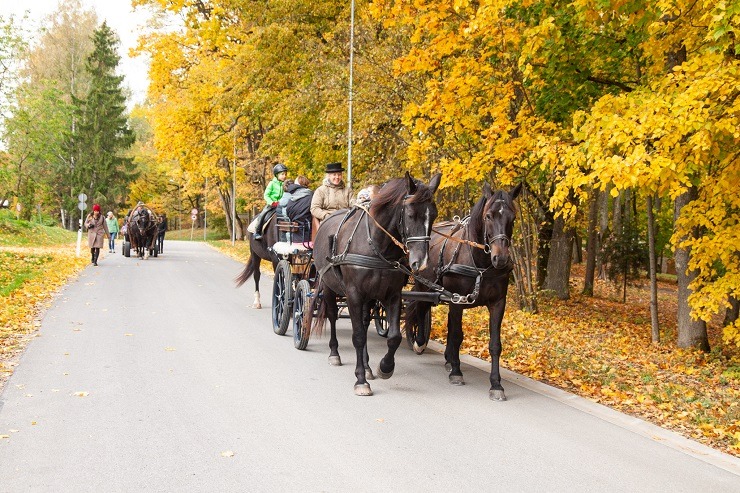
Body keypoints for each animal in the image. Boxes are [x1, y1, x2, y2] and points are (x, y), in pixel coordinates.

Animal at [308, 173, 440, 396]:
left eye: (434, 215)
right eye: (411, 214)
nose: (420, 262)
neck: (377, 246)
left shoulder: (393, 295)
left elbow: (393, 336)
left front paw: (384, 367)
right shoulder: (353, 294)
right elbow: (359, 336)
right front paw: (360, 380)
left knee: (363, 320)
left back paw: (368, 366)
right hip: (328, 286)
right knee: (332, 316)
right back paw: (335, 353)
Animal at [404, 181, 520, 400]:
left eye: (513, 217)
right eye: (488, 216)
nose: (500, 258)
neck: (480, 263)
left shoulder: (497, 303)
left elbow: (494, 344)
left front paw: (496, 384)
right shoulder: (457, 301)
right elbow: (457, 336)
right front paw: (457, 373)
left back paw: (448, 359)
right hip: (425, 286)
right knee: (419, 310)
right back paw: (420, 341)